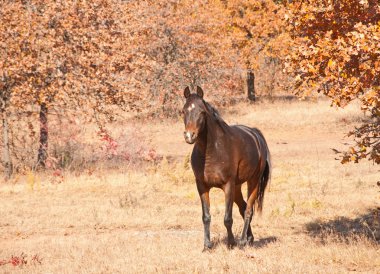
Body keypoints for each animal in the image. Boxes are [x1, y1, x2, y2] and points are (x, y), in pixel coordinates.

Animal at [183, 86, 272, 250]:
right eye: (183, 111)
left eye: (202, 112)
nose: (189, 136)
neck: (212, 151)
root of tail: (256, 134)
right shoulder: (202, 186)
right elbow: (206, 217)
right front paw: (207, 246)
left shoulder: (228, 186)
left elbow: (227, 218)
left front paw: (231, 243)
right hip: (237, 187)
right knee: (243, 208)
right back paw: (249, 238)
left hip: (253, 182)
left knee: (248, 210)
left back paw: (242, 241)